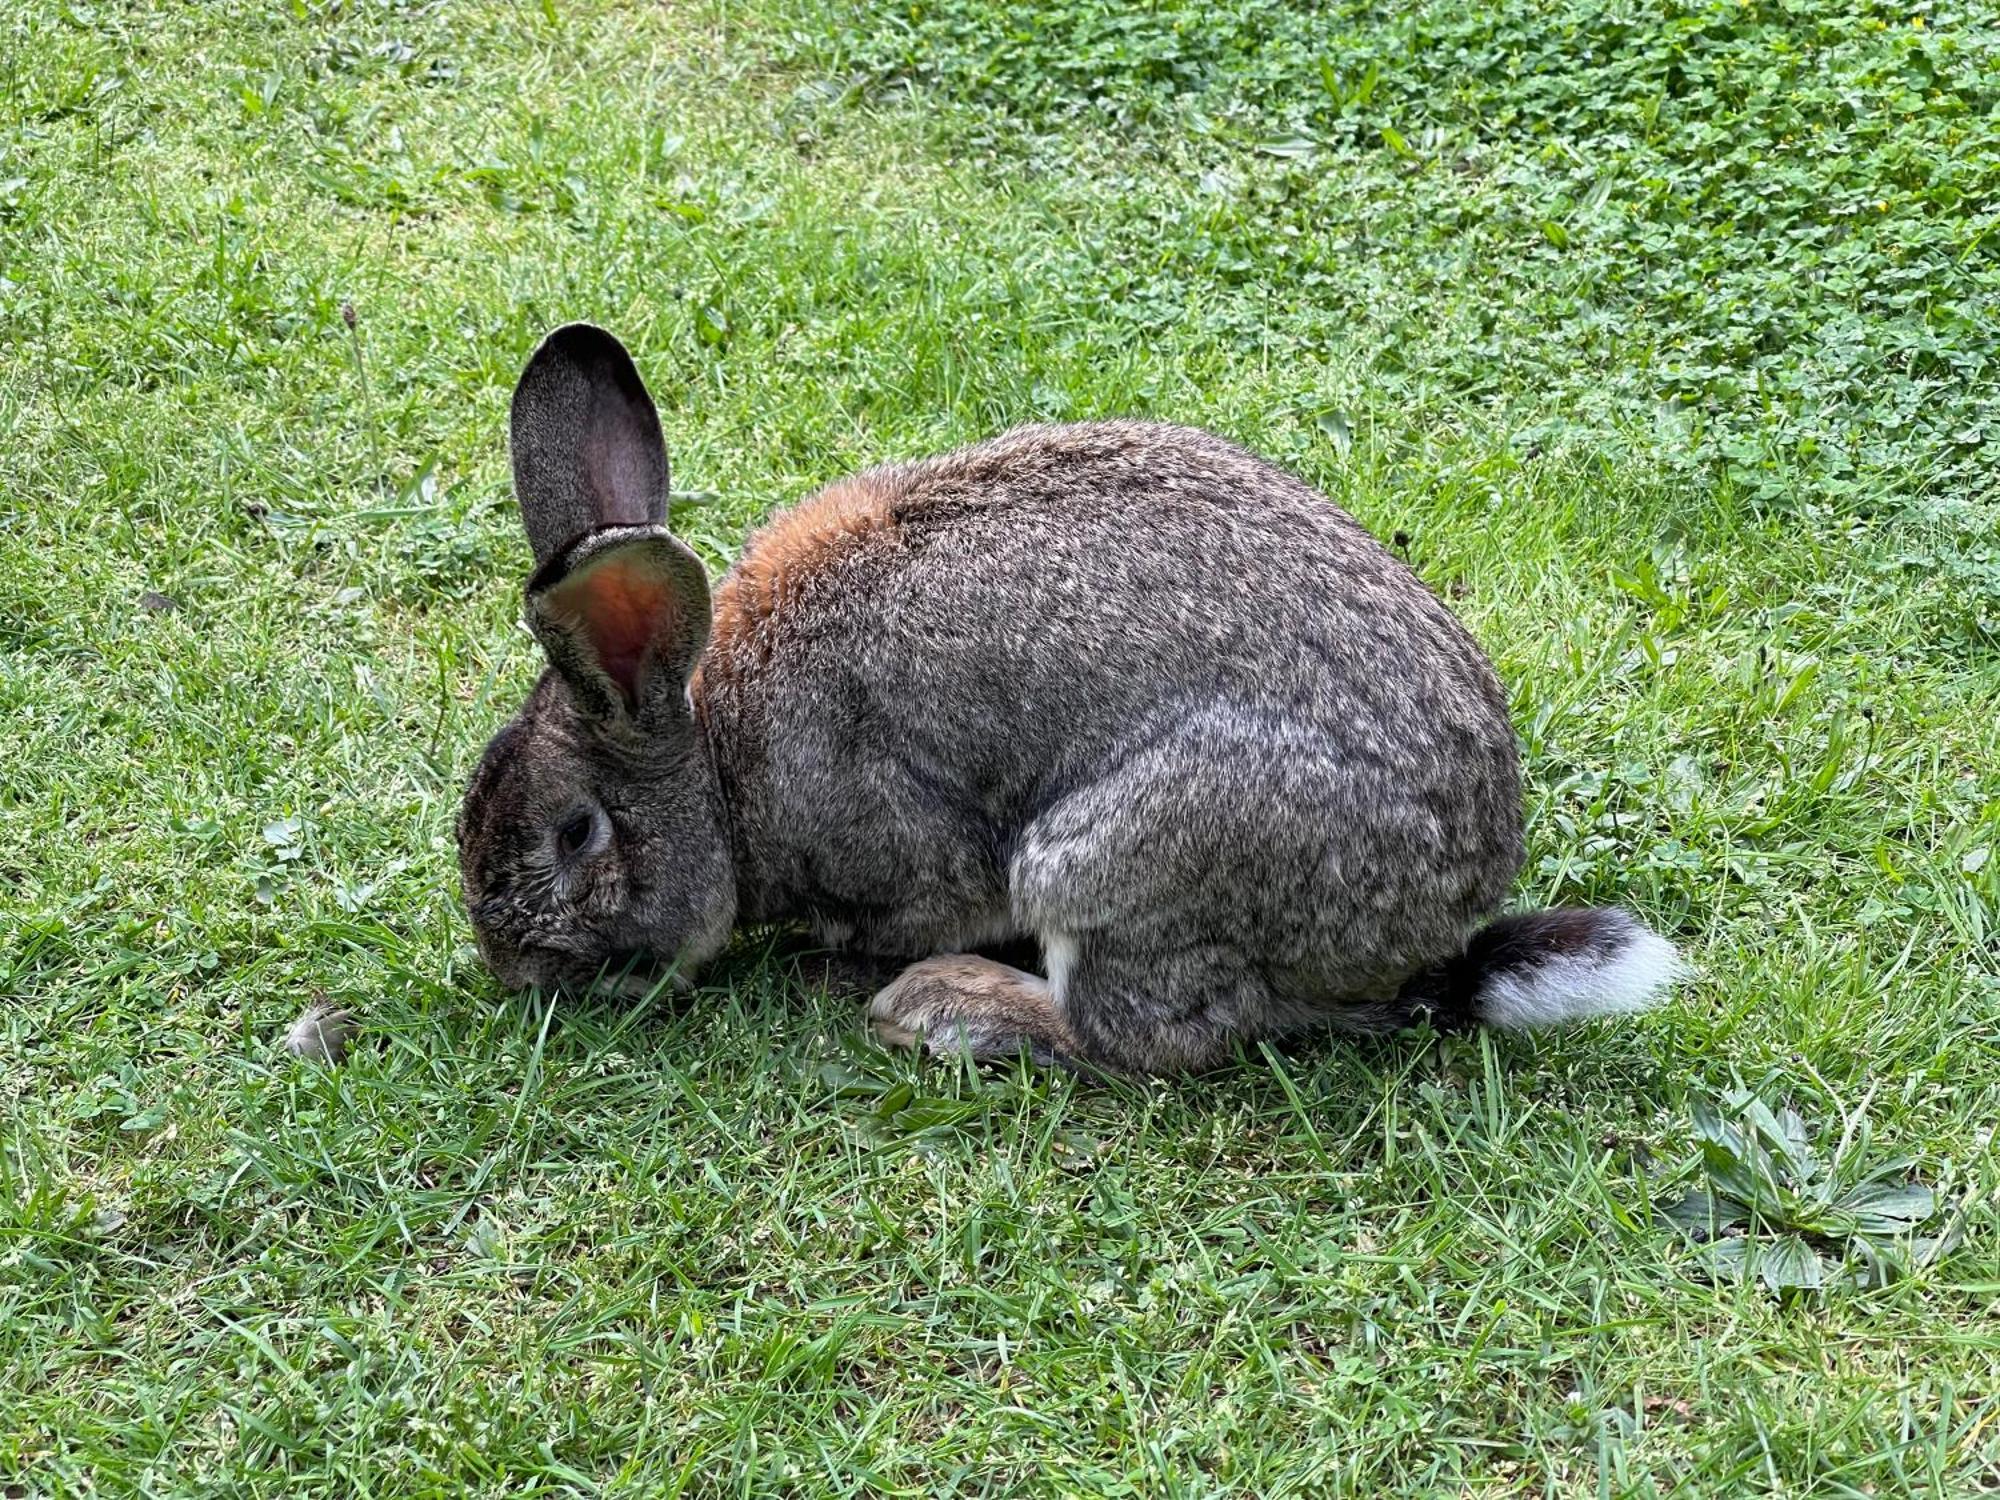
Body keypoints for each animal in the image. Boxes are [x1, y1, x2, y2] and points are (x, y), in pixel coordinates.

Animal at [458, 324, 1688, 1072]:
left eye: (574, 833)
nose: (515, 977)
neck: (720, 759)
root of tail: (1433, 929)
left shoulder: (904, 848)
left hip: (1114, 858)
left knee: (1142, 1037)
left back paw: (940, 1006)